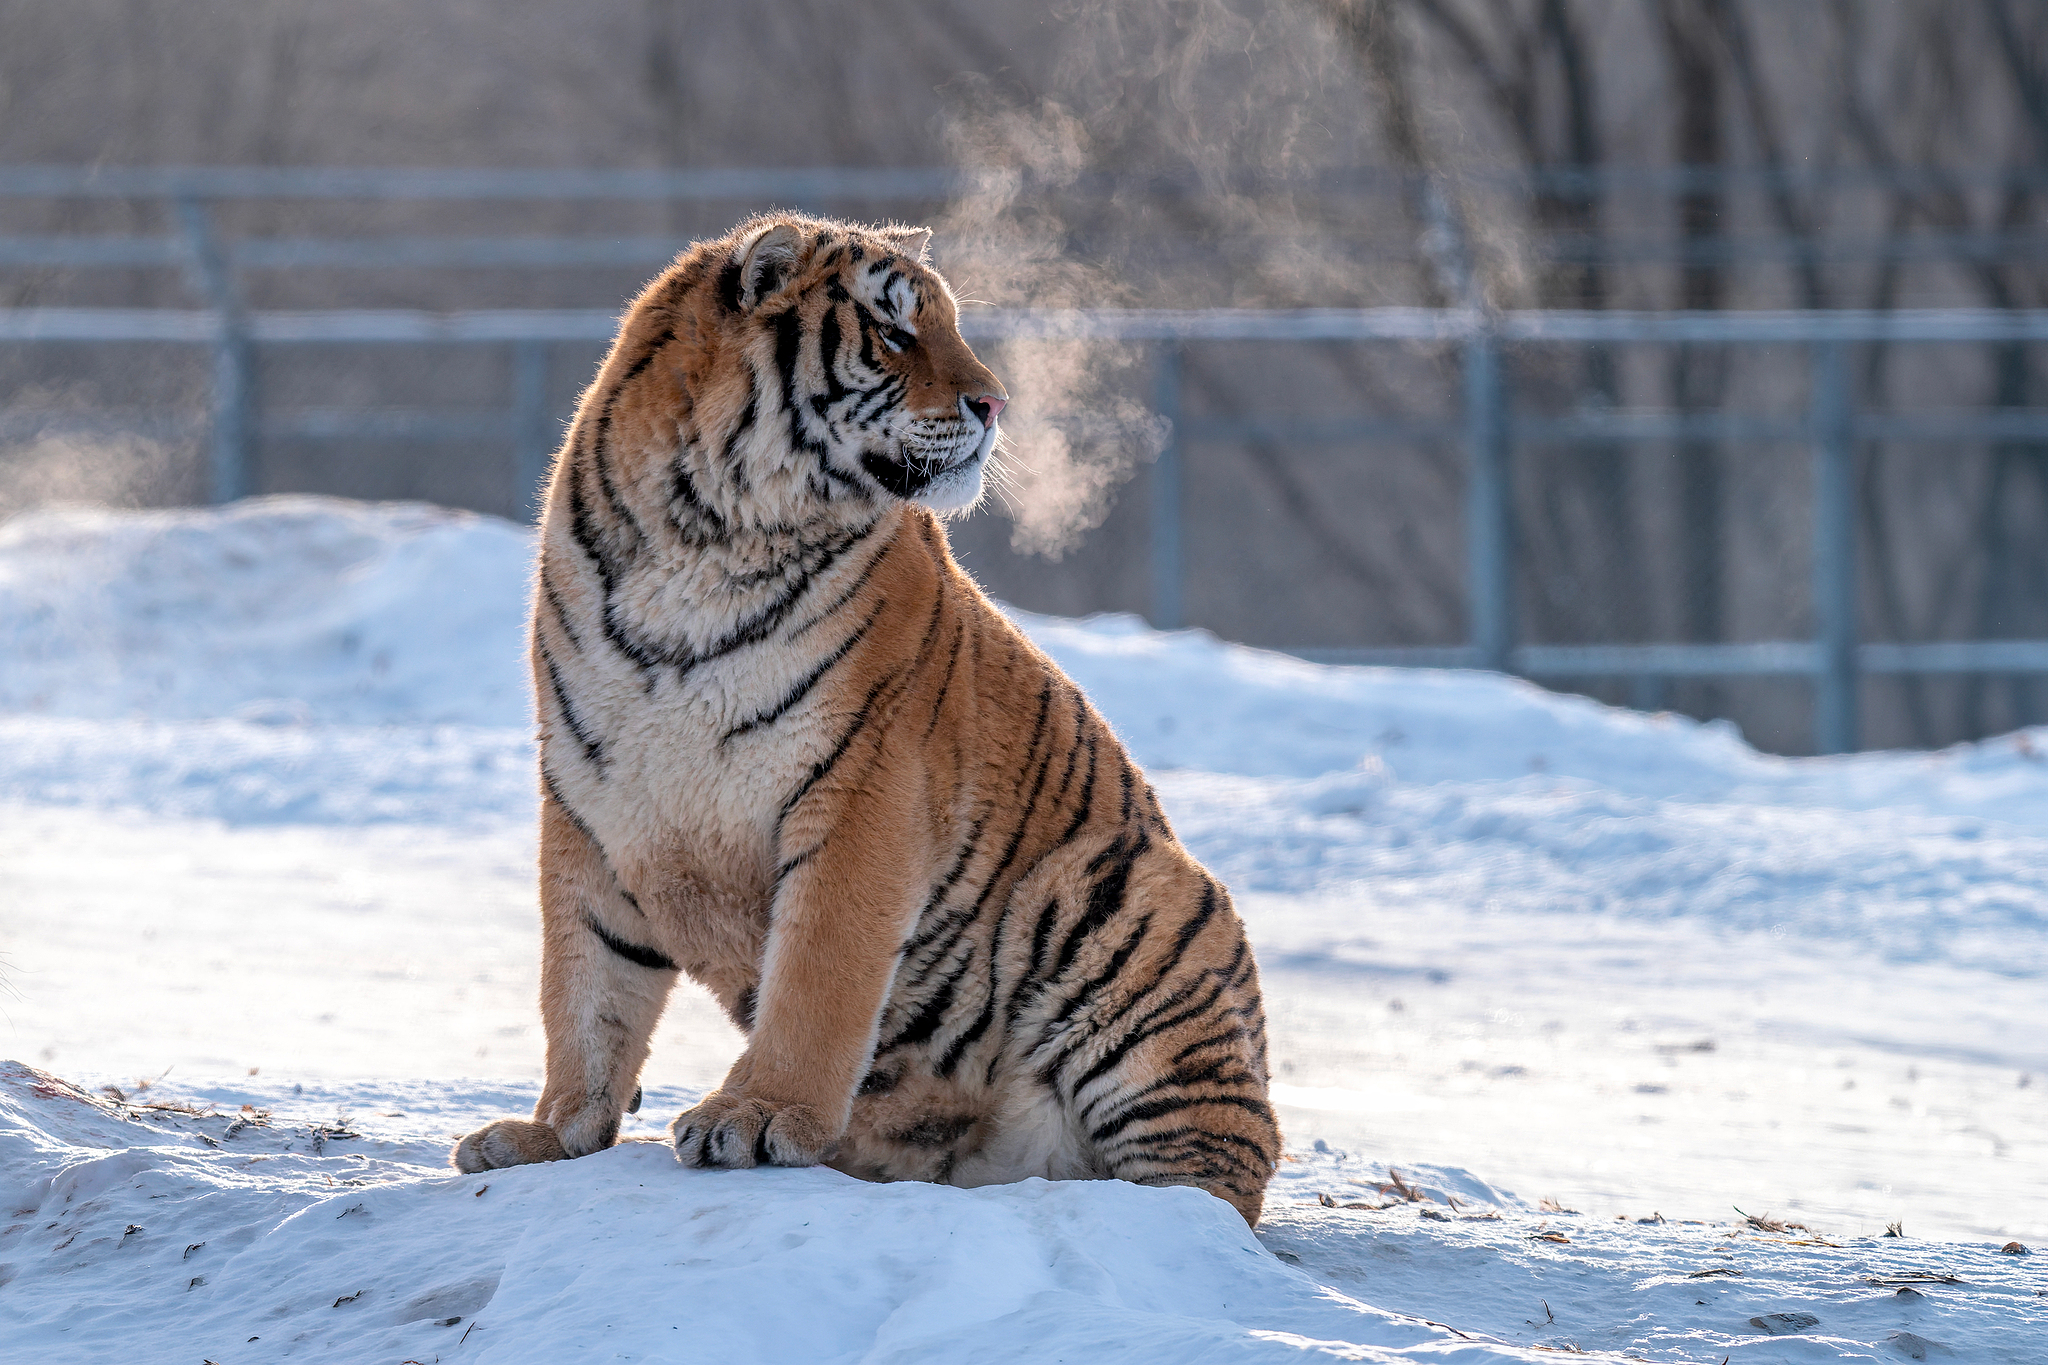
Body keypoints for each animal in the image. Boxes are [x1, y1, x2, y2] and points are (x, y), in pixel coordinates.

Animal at [450, 212, 1280, 1226]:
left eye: (950, 323)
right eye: (893, 331)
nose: (995, 404)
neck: (702, 538)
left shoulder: (862, 791)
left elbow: (817, 980)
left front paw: (758, 1117)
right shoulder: (590, 799)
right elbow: (583, 990)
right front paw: (549, 1136)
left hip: (1119, 889)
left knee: (1219, 1170)